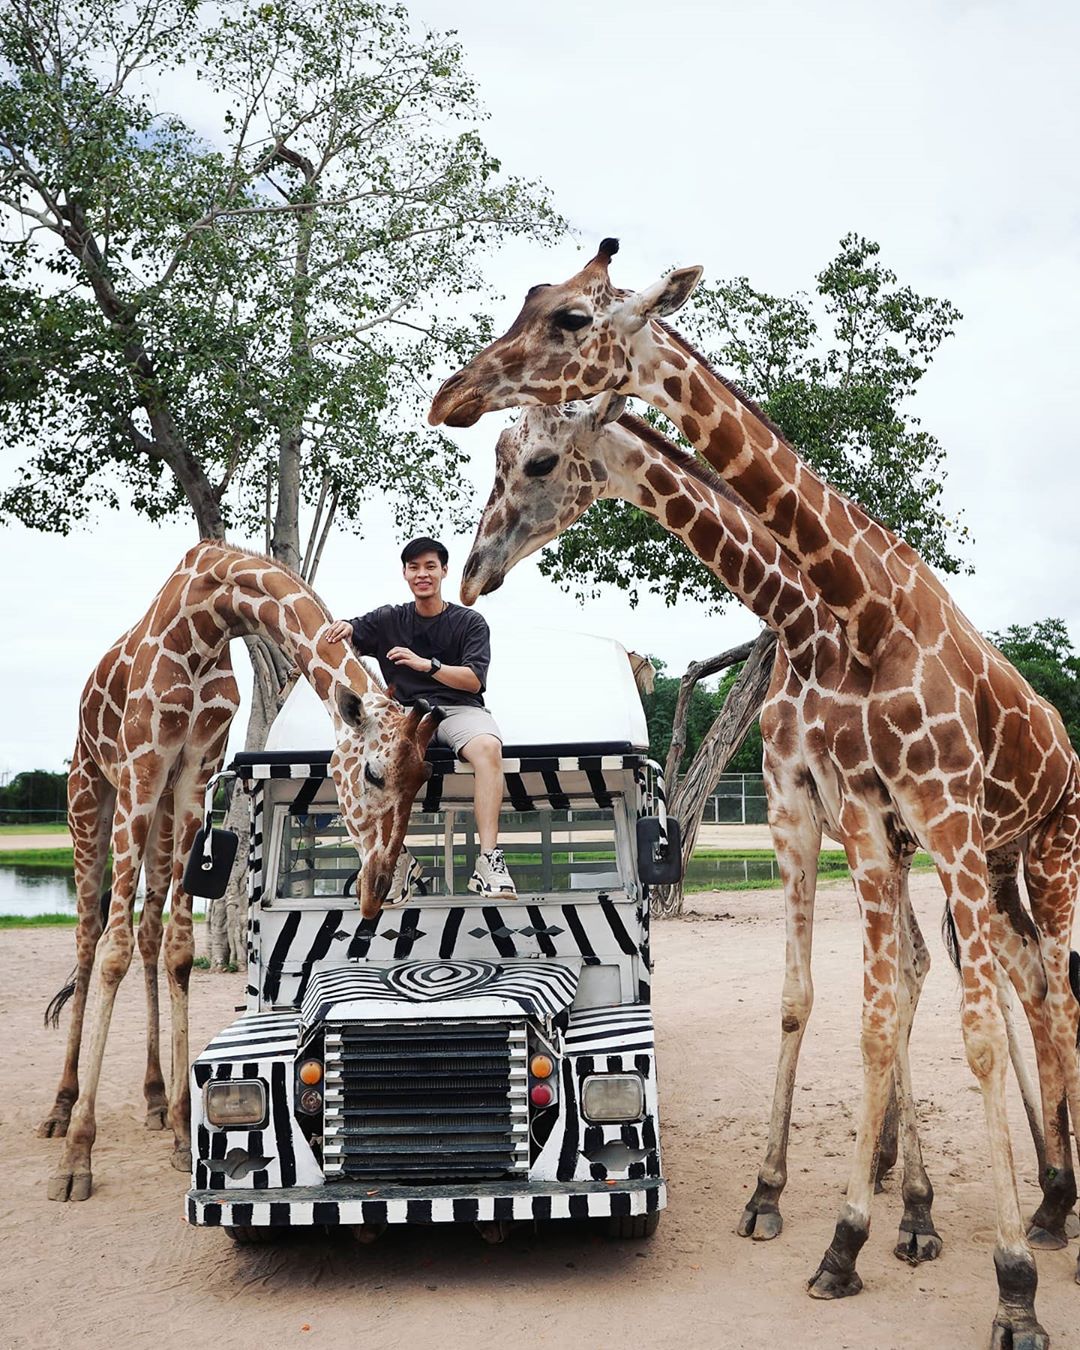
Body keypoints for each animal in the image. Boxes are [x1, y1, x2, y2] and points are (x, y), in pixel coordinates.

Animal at [41, 540, 437, 1204]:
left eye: (424, 781)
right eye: (375, 773)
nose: (377, 888)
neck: (207, 616)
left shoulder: (194, 772)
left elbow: (179, 949)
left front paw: (183, 1132)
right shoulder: (145, 764)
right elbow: (112, 950)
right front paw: (76, 1159)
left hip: (160, 815)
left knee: (150, 932)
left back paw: (156, 1102)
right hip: (91, 794)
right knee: (89, 938)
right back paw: (60, 1110)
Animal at [434, 251, 1080, 1339]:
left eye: (537, 462)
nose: (473, 569)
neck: (841, 611)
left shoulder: (927, 810)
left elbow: (963, 1030)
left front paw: (1008, 1287)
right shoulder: (824, 809)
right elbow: (825, 1000)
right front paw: (819, 1212)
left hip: (1044, 840)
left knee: (1047, 992)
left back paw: (1046, 1207)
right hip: (990, 857)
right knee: (1008, 980)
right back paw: (1041, 1193)